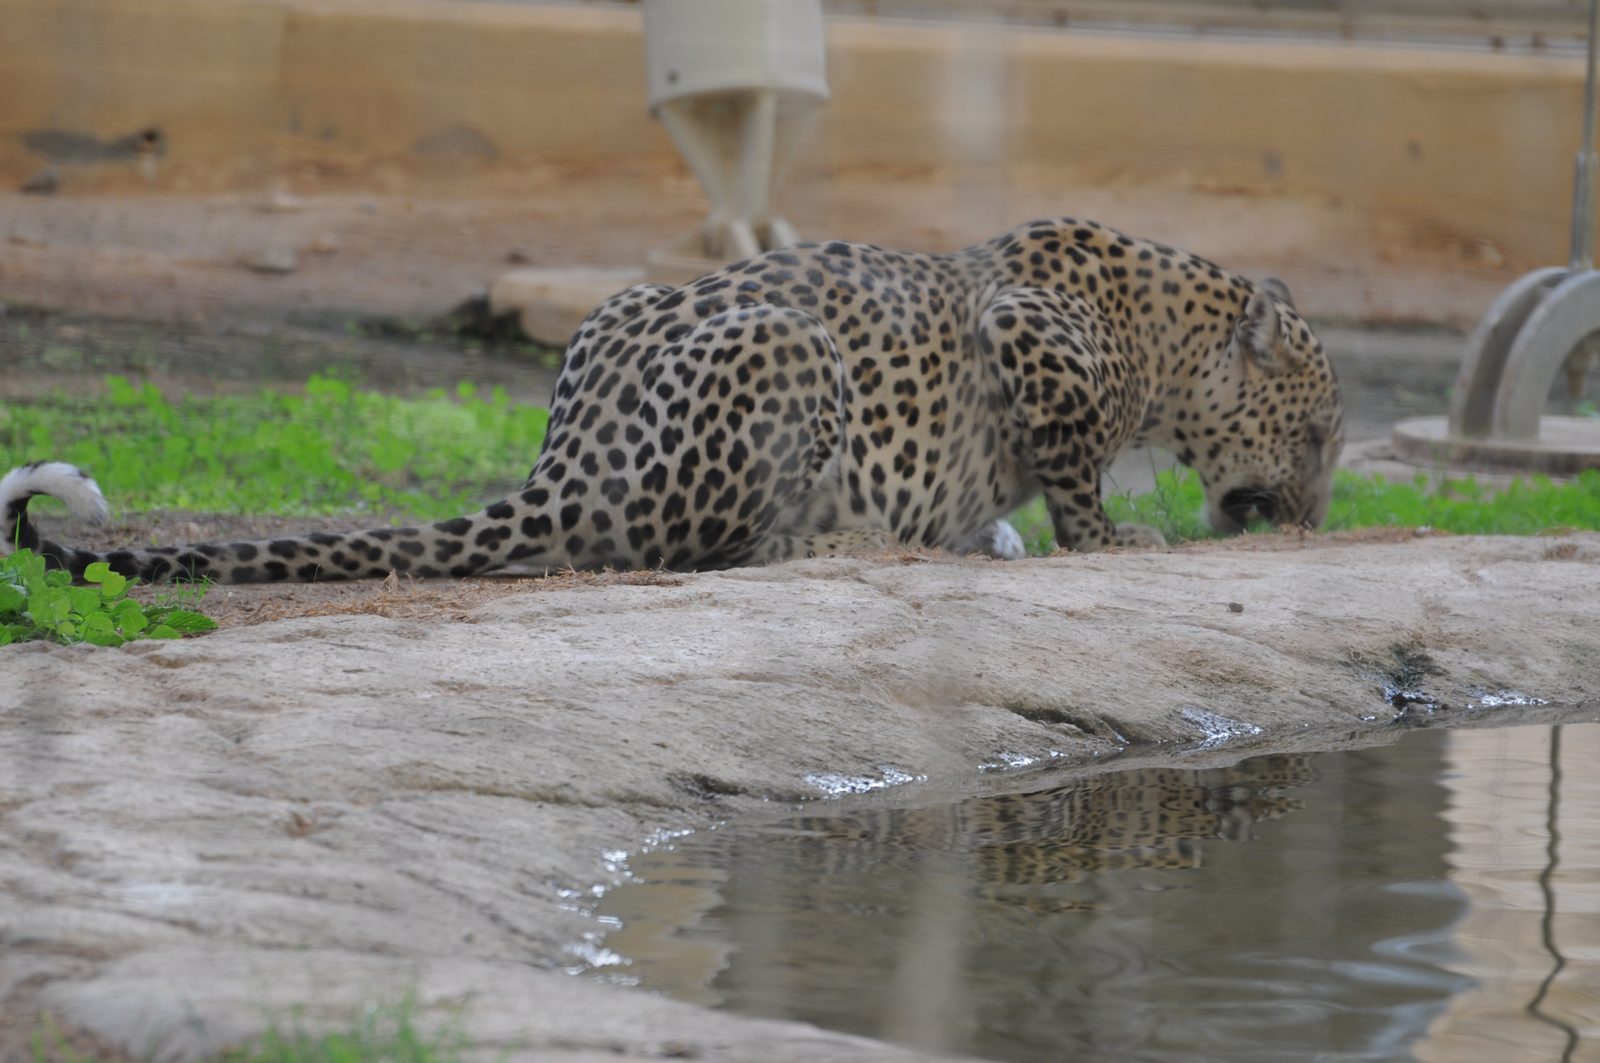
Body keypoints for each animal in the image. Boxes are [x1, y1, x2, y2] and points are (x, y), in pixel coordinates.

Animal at [2, 217, 1344, 584]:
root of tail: (565, 469)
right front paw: (1111, 535)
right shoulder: (1030, 338)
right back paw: (849, 540)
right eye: (1323, 435)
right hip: (795, 350)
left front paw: (1003, 532)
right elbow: (1075, 475)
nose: (1319, 514)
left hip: (618, 302)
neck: (1170, 333)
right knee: (724, 547)